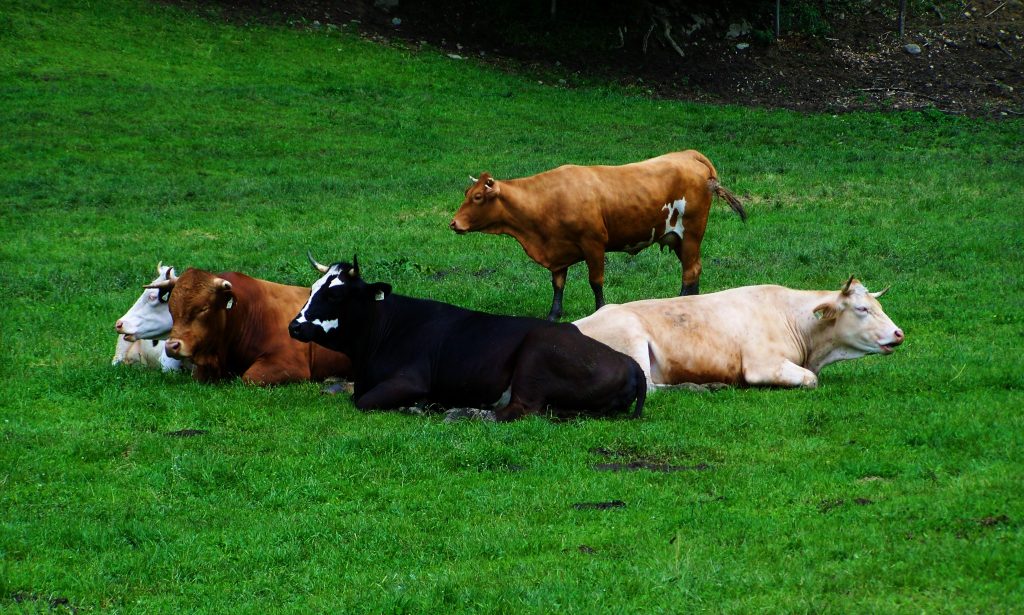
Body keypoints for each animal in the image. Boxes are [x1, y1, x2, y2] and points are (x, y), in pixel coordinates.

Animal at [287, 254, 646, 422]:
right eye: (312, 289)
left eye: (335, 295)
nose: (294, 326)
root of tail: (630, 364)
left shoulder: (409, 380)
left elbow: (362, 401)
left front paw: (417, 407)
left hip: (535, 356)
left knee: (517, 411)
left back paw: (461, 413)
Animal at [449, 150, 747, 321]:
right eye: (466, 193)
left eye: (477, 197)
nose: (453, 223)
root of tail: (689, 154)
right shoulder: (558, 250)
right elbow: (558, 284)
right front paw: (553, 314)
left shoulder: (593, 243)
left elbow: (596, 281)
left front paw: (600, 309)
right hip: (678, 238)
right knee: (693, 268)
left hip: (692, 232)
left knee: (690, 270)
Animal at [573, 277, 904, 390]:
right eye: (862, 309)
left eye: (878, 305)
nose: (899, 333)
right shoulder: (762, 365)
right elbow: (811, 380)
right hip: (632, 341)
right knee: (651, 387)